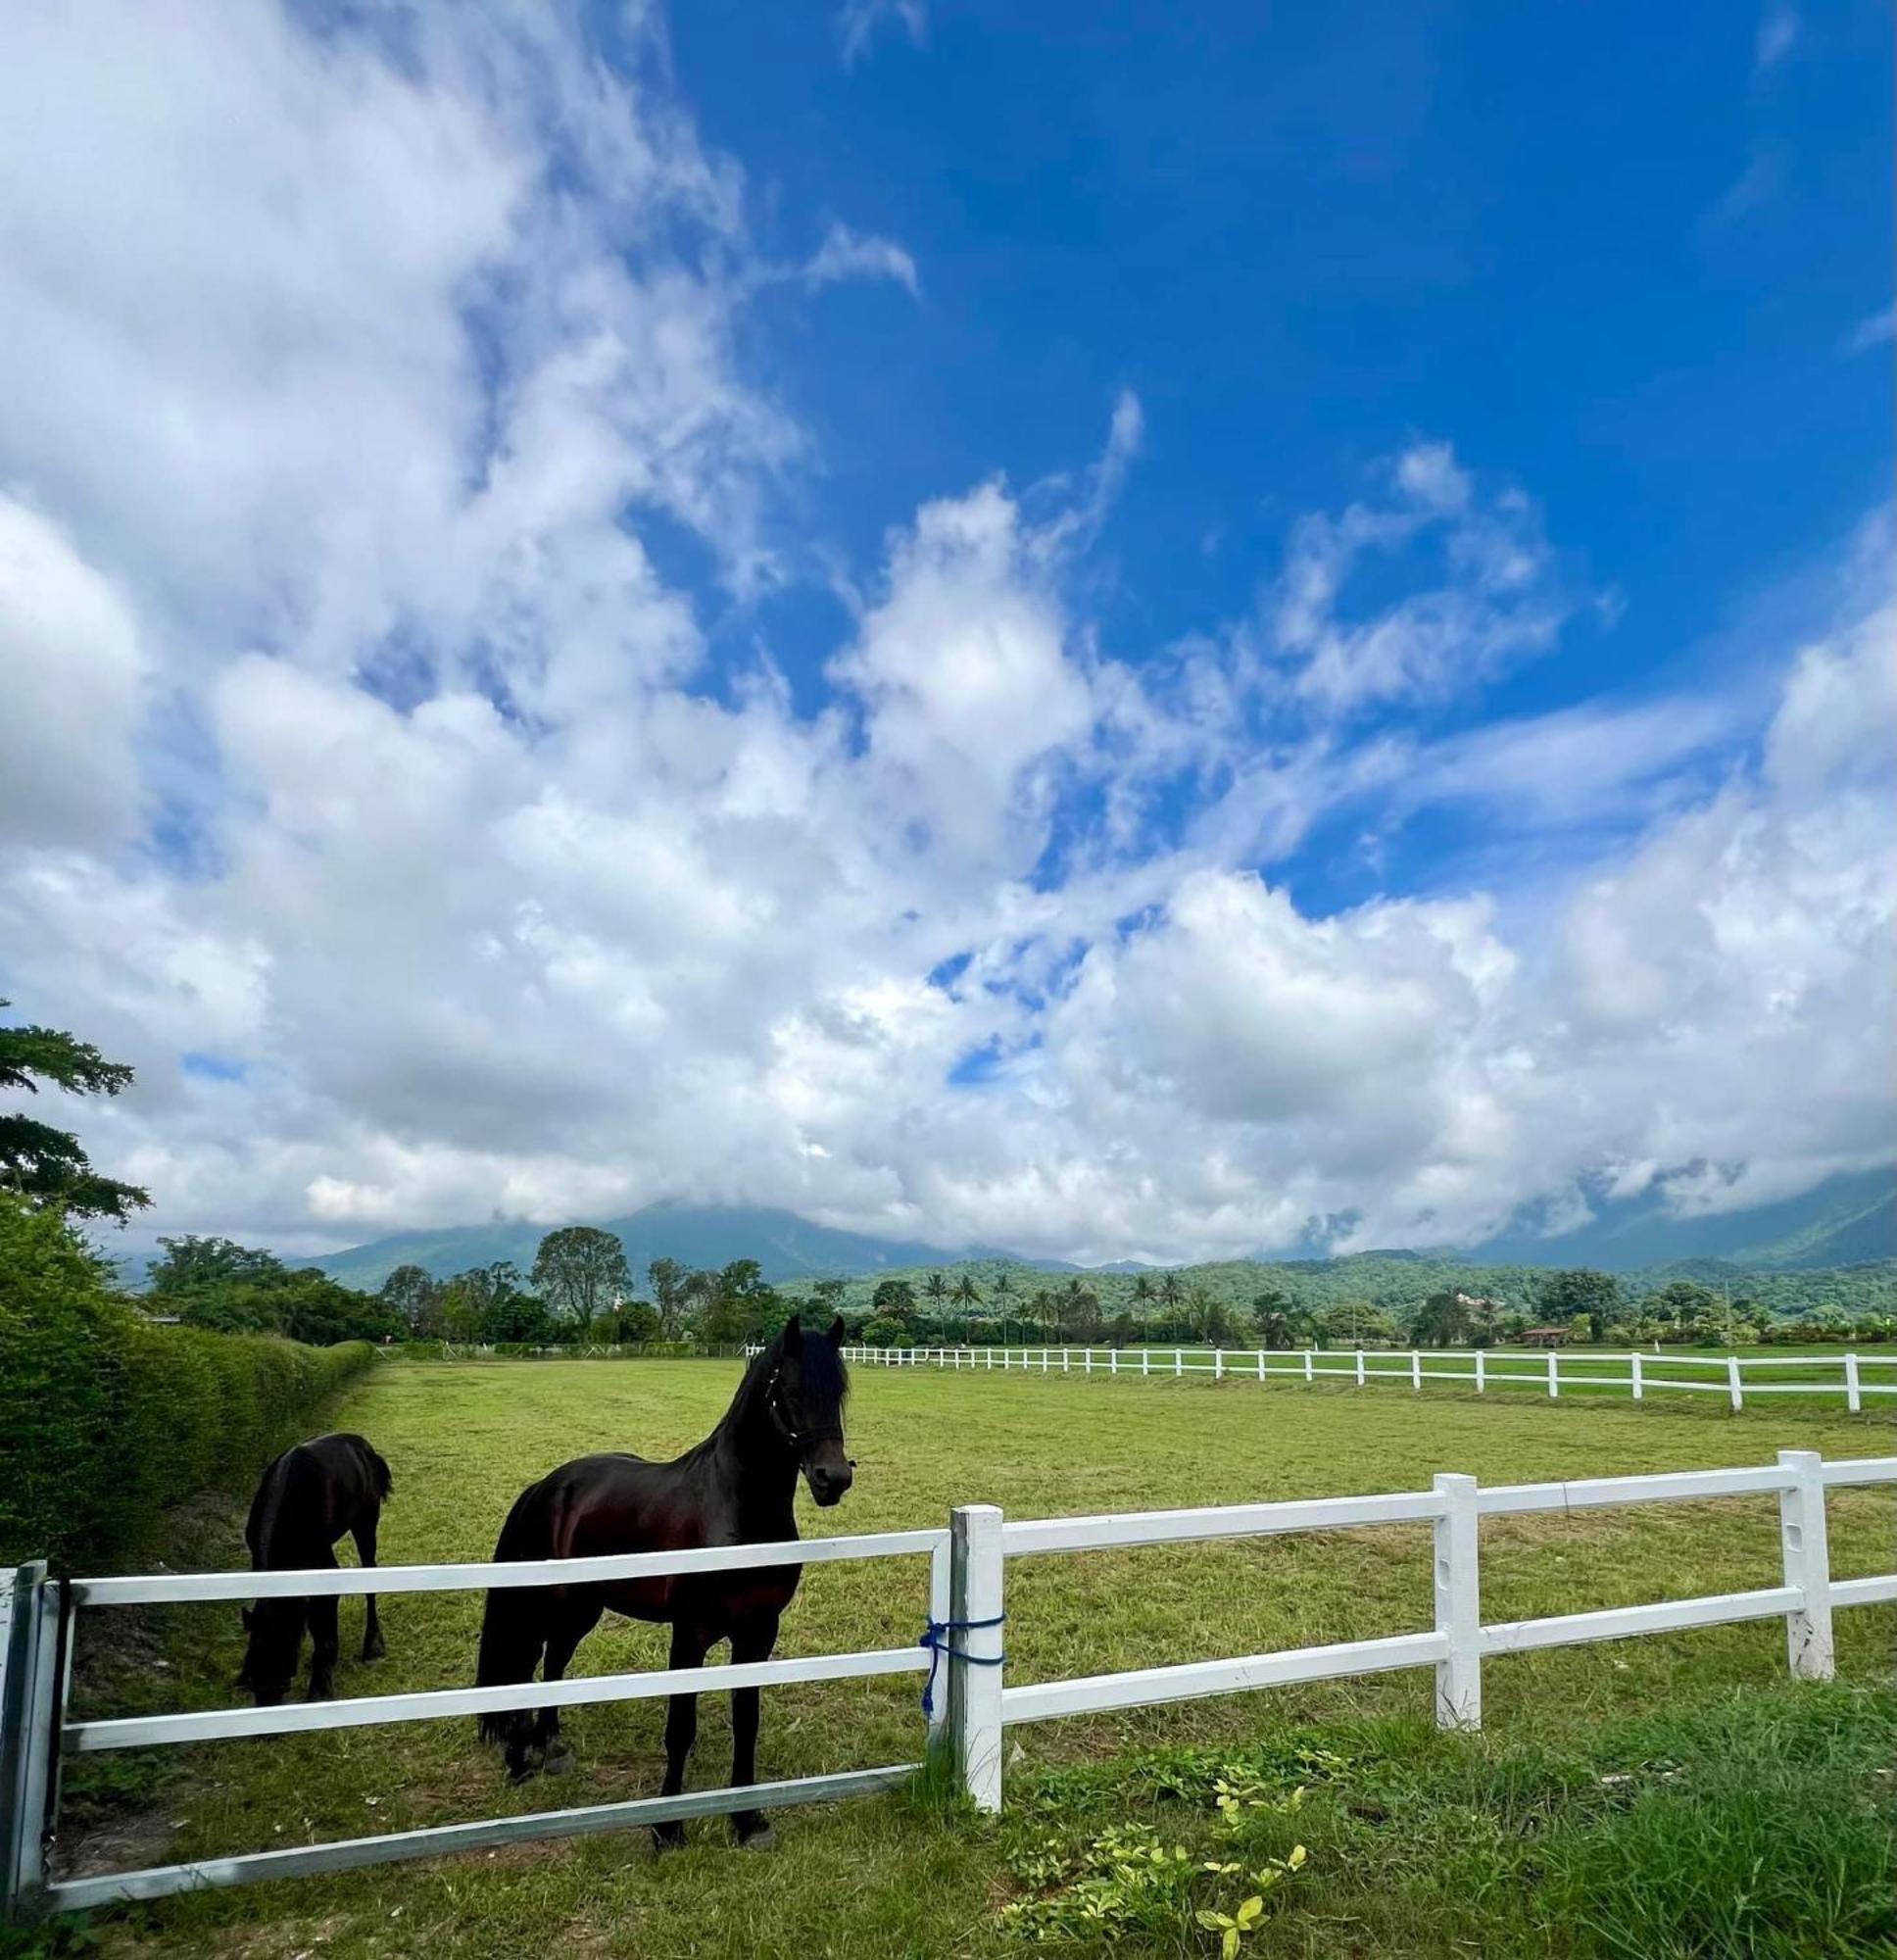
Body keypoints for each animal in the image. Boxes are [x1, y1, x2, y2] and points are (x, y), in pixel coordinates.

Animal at [239, 1435, 390, 1709]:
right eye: (253, 1679)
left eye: (284, 1677)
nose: (268, 1704)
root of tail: (362, 1445)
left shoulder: (324, 1564)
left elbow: (322, 1624)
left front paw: (320, 1687)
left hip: (365, 1522)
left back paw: (373, 1646)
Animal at [474, 1317, 851, 1850]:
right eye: (791, 1392)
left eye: (838, 1392)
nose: (833, 1479)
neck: (734, 1512)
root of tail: (546, 1486)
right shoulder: (689, 1634)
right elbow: (681, 1729)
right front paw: (668, 1827)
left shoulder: (758, 1633)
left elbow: (747, 1723)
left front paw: (748, 1820)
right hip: (548, 1603)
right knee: (525, 1666)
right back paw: (519, 1761)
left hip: (582, 1608)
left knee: (555, 1662)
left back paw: (551, 1748)